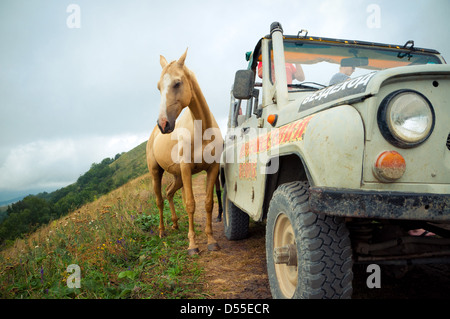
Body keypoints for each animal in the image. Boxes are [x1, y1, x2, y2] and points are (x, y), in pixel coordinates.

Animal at [147, 49, 224, 255]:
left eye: (177, 83)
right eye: (158, 87)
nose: (164, 124)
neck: (202, 131)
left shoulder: (212, 168)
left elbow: (208, 203)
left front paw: (211, 240)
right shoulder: (187, 169)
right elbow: (190, 204)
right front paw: (192, 245)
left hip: (178, 177)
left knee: (169, 193)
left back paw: (174, 224)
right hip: (156, 172)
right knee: (159, 200)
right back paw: (162, 231)